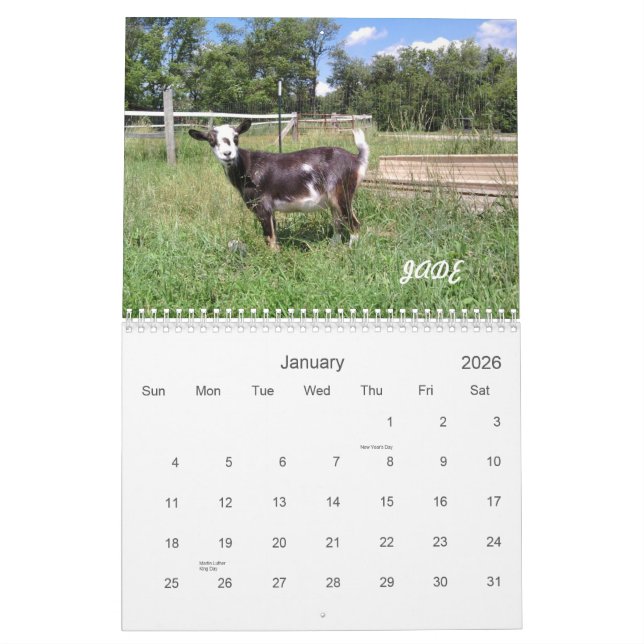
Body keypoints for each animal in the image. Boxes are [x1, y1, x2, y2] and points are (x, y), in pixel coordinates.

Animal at [189, 120, 369, 250]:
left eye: (236, 137)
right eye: (211, 140)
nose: (228, 154)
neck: (248, 167)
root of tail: (357, 159)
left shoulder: (262, 206)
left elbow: (269, 238)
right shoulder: (270, 210)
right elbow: (273, 236)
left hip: (342, 193)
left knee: (354, 224)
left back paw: (350, 250)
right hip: (334, 201)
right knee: (338, 224)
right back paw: (333, 246)